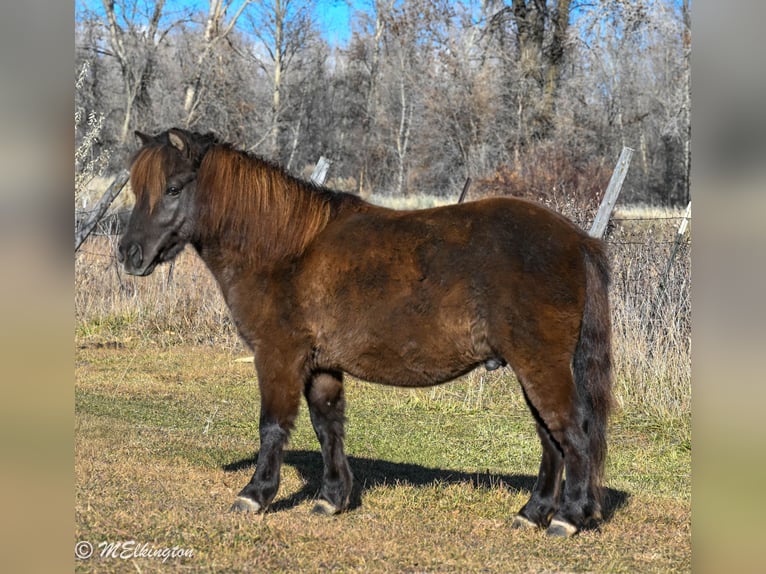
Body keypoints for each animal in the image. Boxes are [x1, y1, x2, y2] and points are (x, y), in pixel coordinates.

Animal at [118, 128, 613, 537]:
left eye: (173, 188)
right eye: (137, 188)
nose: (128, 253)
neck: (287, 248)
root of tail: (577, 239)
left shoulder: (277, 356)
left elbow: (273, 426)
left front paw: (255, 494)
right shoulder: (321, 366)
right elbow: (327, 426)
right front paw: (332, 498)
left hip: (541, 365)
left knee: (572, 432)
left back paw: (568, 518)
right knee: (551, 438)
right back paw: (533, 513)